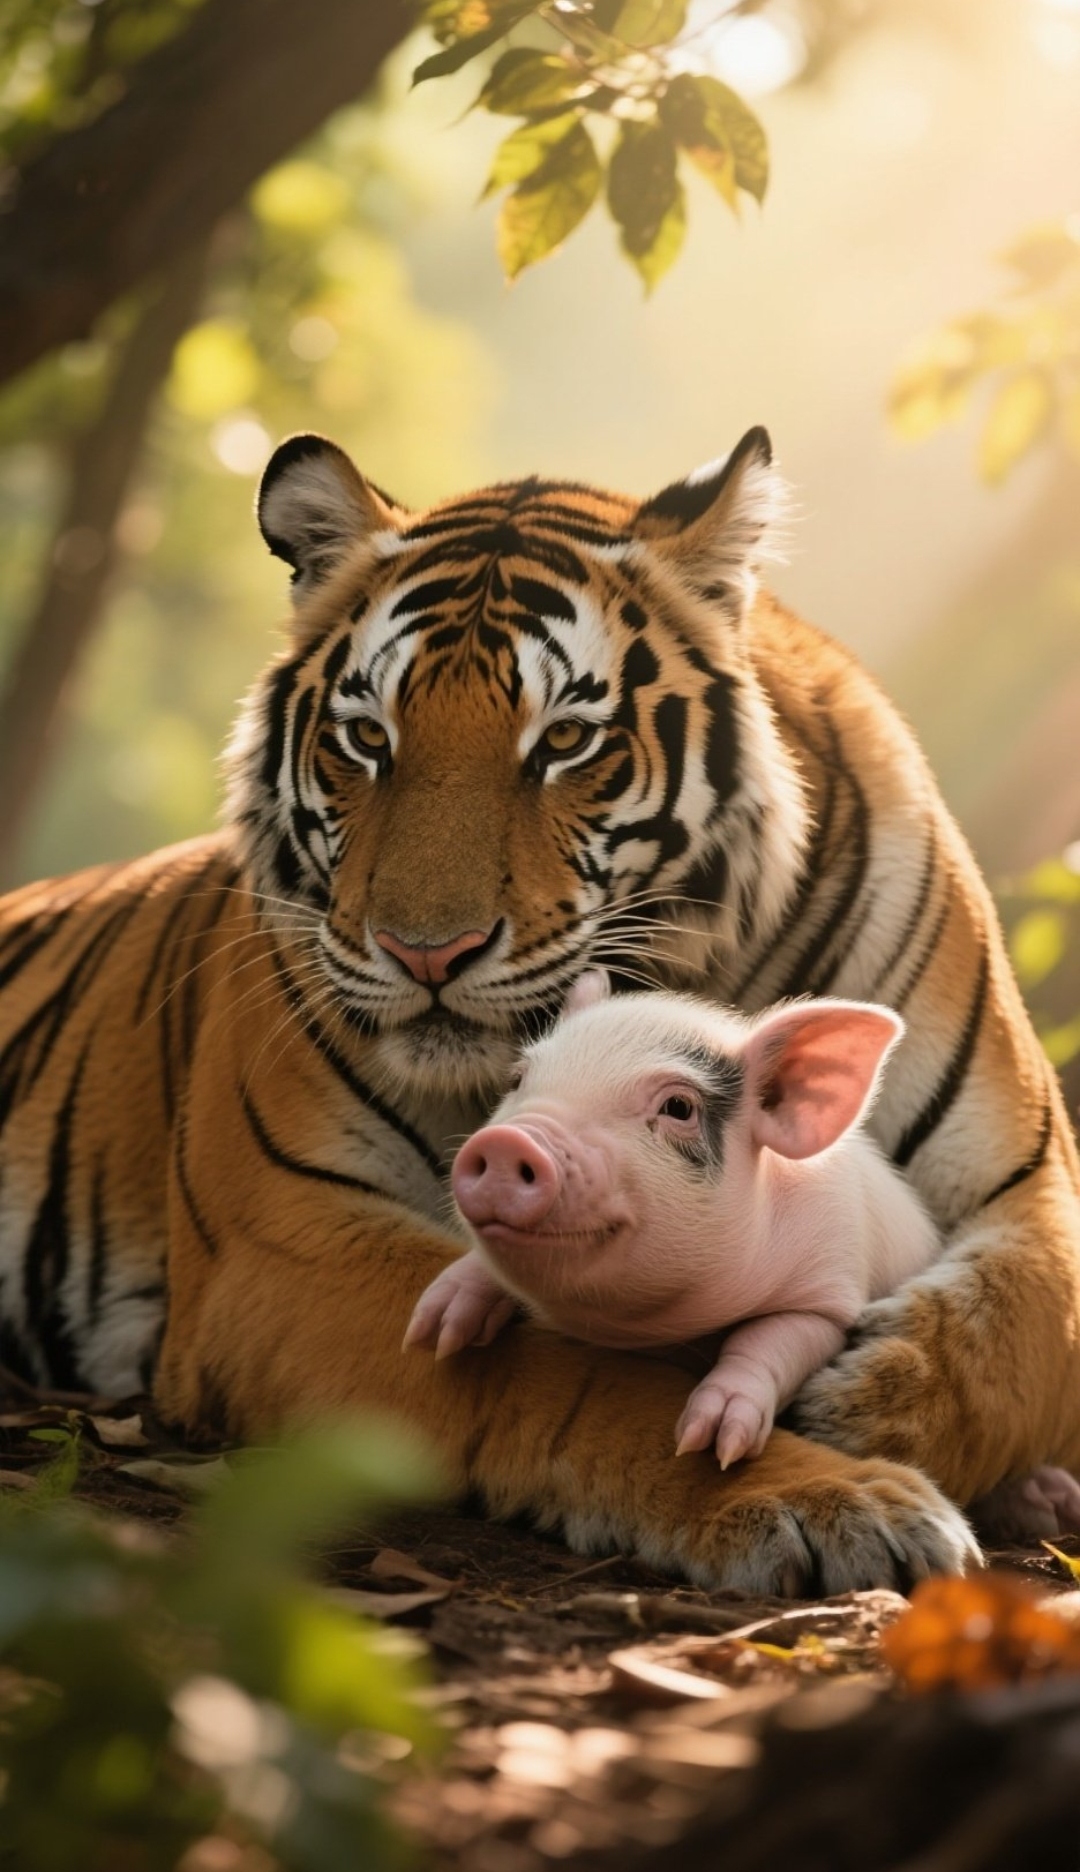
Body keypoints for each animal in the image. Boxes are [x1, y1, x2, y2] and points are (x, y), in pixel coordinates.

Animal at [1, 424, 1077, 1595]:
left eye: (563, 742)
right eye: (368, 738)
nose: (426, 951)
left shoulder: (1031, 1177)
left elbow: (1026, 1327)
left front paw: (871, 1404)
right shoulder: (284, 1242)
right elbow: (581, 1376)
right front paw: (834, 1499)